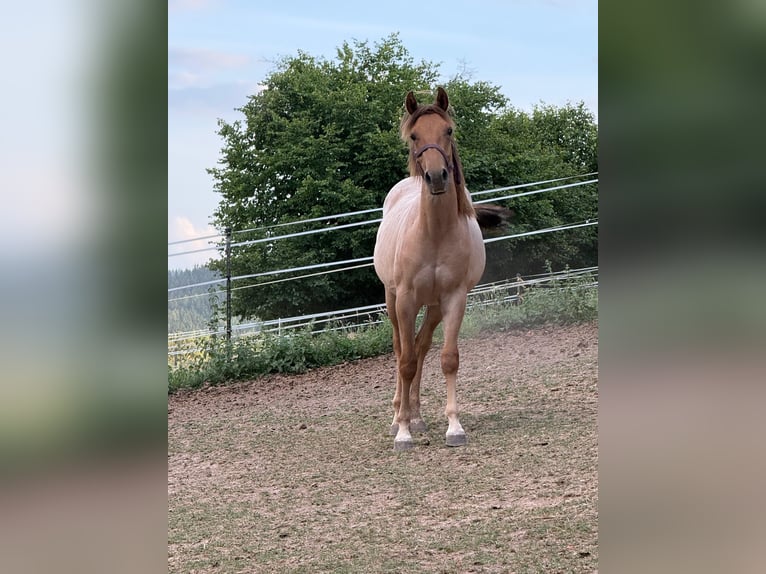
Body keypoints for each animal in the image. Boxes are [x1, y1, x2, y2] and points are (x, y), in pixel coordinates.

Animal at [373, 87, 508, 451]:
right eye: (414, 135)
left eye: (448, 131)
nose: (436, 177)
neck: (432, 233)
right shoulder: (405, 299)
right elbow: (404, 361)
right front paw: (403, 432)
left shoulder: (454, 298)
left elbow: (447, 358)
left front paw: (454, 427)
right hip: (393, 300)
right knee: (401, 350)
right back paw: (398, 416)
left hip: (432, 306)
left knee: (420, 347)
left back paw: (417, 416)